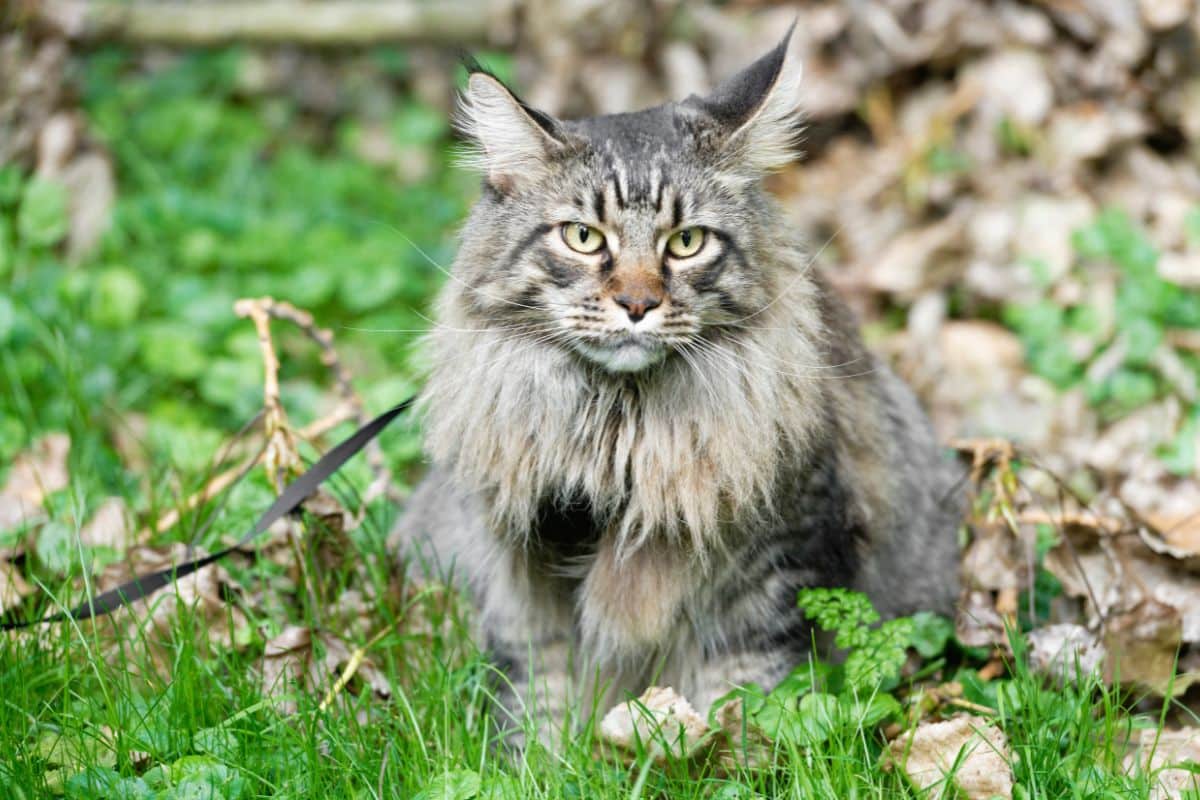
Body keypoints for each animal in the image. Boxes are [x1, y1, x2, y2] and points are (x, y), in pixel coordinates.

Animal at [388, 25, 960, 748]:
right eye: (583, 237)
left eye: (686, 242)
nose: (637, 303)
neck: (617, 431)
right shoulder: (525, 577)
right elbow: (540, 698)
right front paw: (538, 762)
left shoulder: (775, 568)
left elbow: (742, 702)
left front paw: (727, 759)